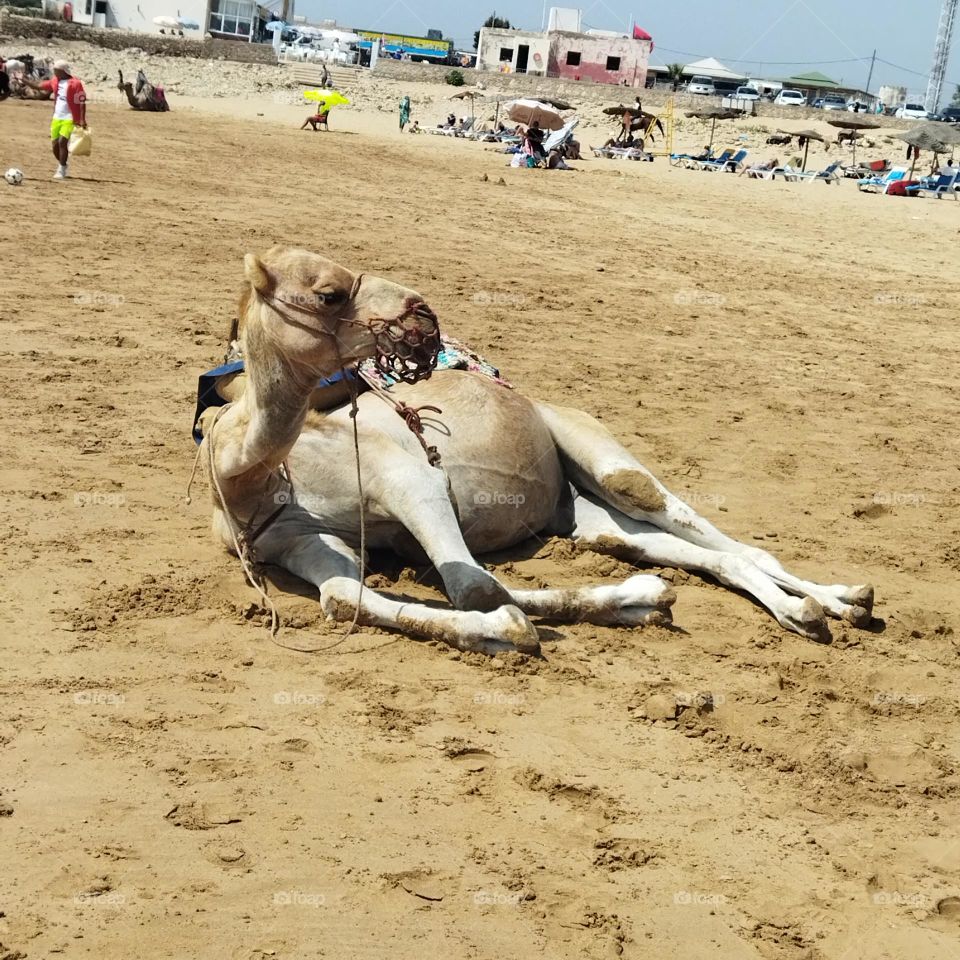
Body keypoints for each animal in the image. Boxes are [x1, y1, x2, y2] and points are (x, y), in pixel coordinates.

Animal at [197, 248, 876, 652]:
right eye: (329, 293)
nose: (420, 308)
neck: (243, 478)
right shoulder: (299, 540)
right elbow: (345, 598)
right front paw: (640, 602)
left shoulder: (411, 479)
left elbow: (474, 587)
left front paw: (631, 602)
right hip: (577, 511)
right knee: (658, 545)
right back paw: (819, 607)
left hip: (590, 446)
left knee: (692, 519)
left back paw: (834, 602)